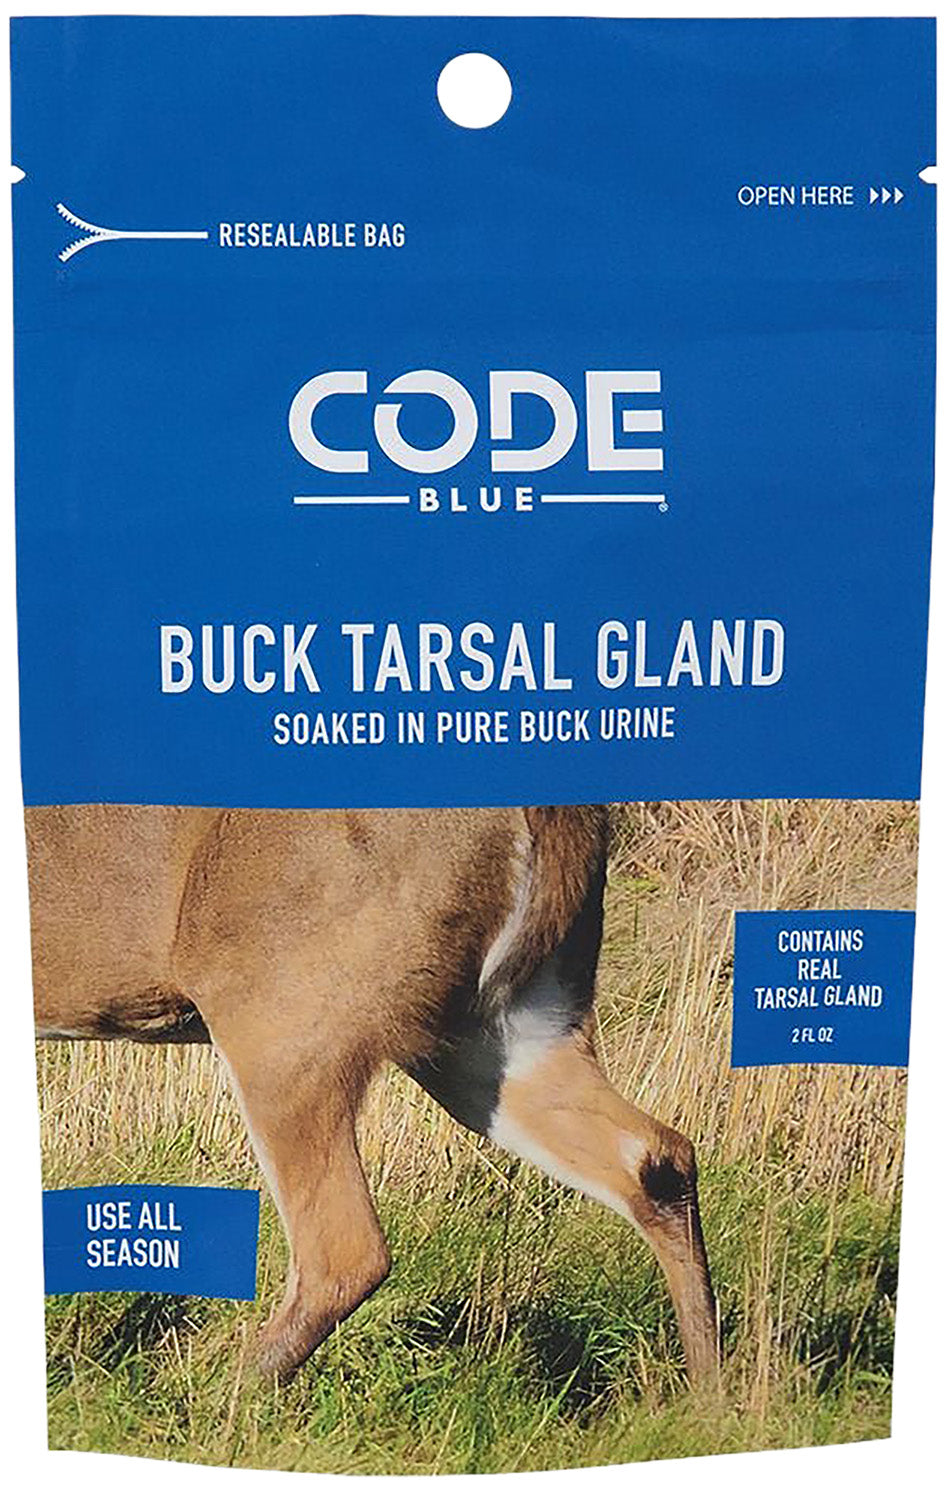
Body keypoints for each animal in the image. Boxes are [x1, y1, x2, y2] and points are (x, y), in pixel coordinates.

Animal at [27, 803, 718, 1384]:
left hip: (281, 1006)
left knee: (344, 1249)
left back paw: (214, 1398)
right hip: (507, 1023)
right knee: (656, 1155)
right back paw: (709, 1396)